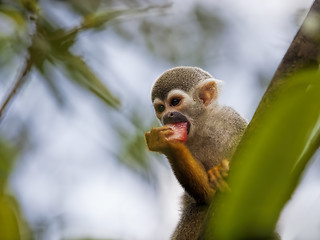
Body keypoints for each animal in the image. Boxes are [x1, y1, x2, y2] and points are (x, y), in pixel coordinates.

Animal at [145, 66, 248, 239]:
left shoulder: (230, 119)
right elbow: (209, 197)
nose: (166, 115)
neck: (201, 126)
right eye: (161, 108)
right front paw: (169, 145)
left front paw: (221, 172)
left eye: (174, 102)